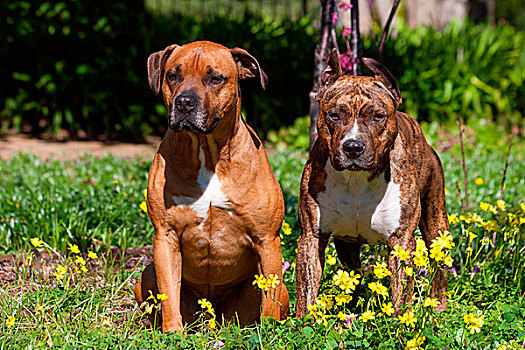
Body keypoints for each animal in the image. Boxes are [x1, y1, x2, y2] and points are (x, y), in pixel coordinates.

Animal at [133, 41, 288, 330]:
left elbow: (270, 298)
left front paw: (270, 330)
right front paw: (172, 332)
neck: (208, 152)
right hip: (146, 274)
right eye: (173, 76)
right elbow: (168, 292)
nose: (184, 102)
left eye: (215, 78)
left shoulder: (266, 239)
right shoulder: (166, 236)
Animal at [294, 52, 446, 318]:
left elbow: (400, 291)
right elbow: (307, 288)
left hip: (437, 223)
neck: (356, 180)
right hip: (346, 245)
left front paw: (399, 320)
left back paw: (440, 306)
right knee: (352, 274)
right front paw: (303, 323)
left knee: (440, 269)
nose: (353, 147)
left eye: (378, 117)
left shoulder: (401, 240)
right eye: (334, 116)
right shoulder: (312, 237)